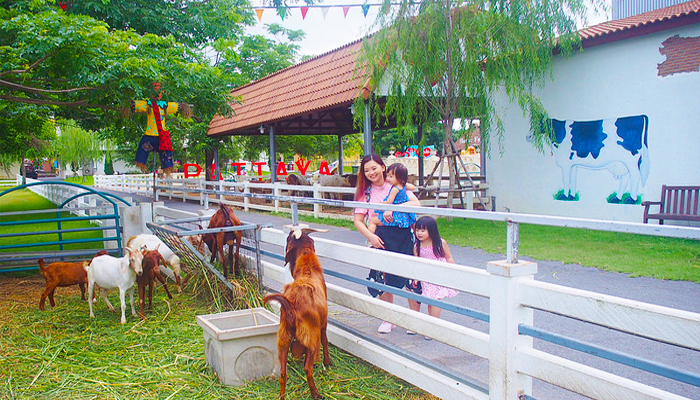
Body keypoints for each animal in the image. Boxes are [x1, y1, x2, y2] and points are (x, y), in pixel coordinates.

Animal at [264, 227, 332, 398]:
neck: (308, 267)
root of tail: (290, 306)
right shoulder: (323, 322)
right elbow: (325, 340)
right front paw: (328, 362)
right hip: (310, 337)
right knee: (308, 368)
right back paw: (316, 394)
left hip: (283, 337)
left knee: (283, 373)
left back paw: (281, 396)